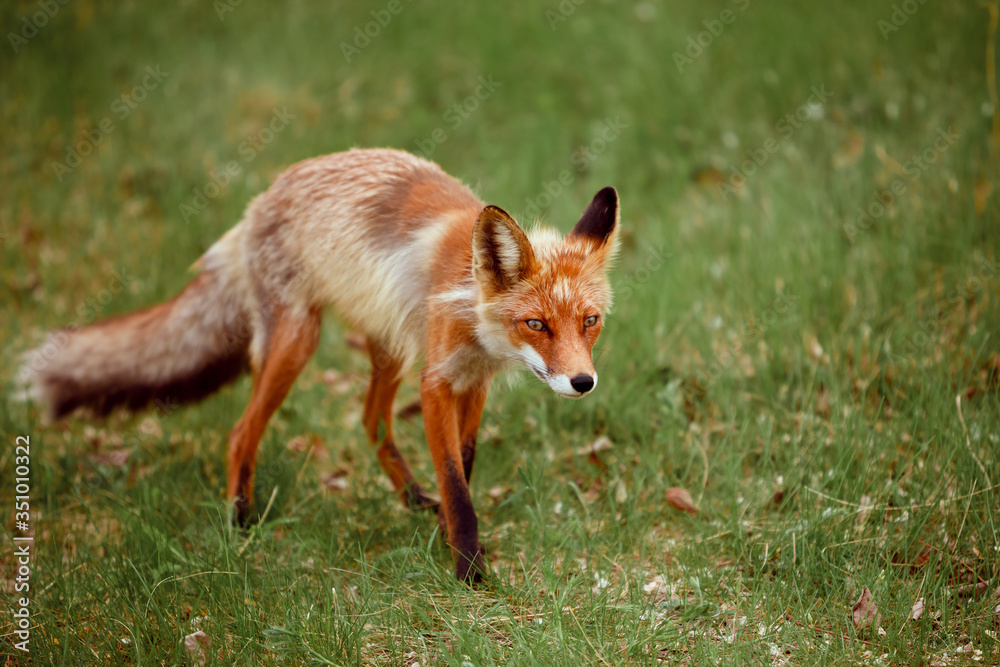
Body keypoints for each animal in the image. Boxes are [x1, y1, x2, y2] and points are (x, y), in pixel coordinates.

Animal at [19, 148, 620, 582]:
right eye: (537, 325)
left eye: (589, 321)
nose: (583, 382)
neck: (469, 304)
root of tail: (259, 202)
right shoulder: (436, 383)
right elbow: (456, 485)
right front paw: (468, 568)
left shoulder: (472, 384)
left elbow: (463, 470)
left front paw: (446, 534)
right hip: (296, 343)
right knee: (241, 432)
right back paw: (240, 521)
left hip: (388, 349)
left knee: (371, 421)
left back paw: (410, 500)